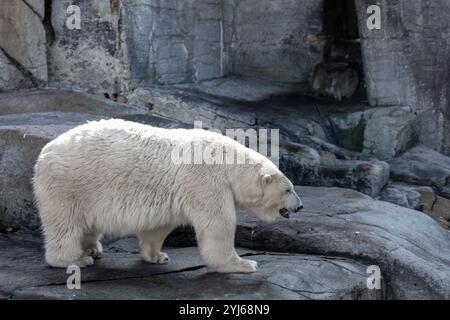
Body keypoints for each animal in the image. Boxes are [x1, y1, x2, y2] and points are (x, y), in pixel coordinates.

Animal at [32, 119, 302, 274]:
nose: (299, 206)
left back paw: (92, 248)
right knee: (65, 223)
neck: (227, 162)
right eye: (288, 189)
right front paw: (245, 264)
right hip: (69, 184)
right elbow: (218, 226)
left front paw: (158, 256)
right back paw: (75, 260)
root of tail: (44, 152)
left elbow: (158, 228)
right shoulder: (206, 181)